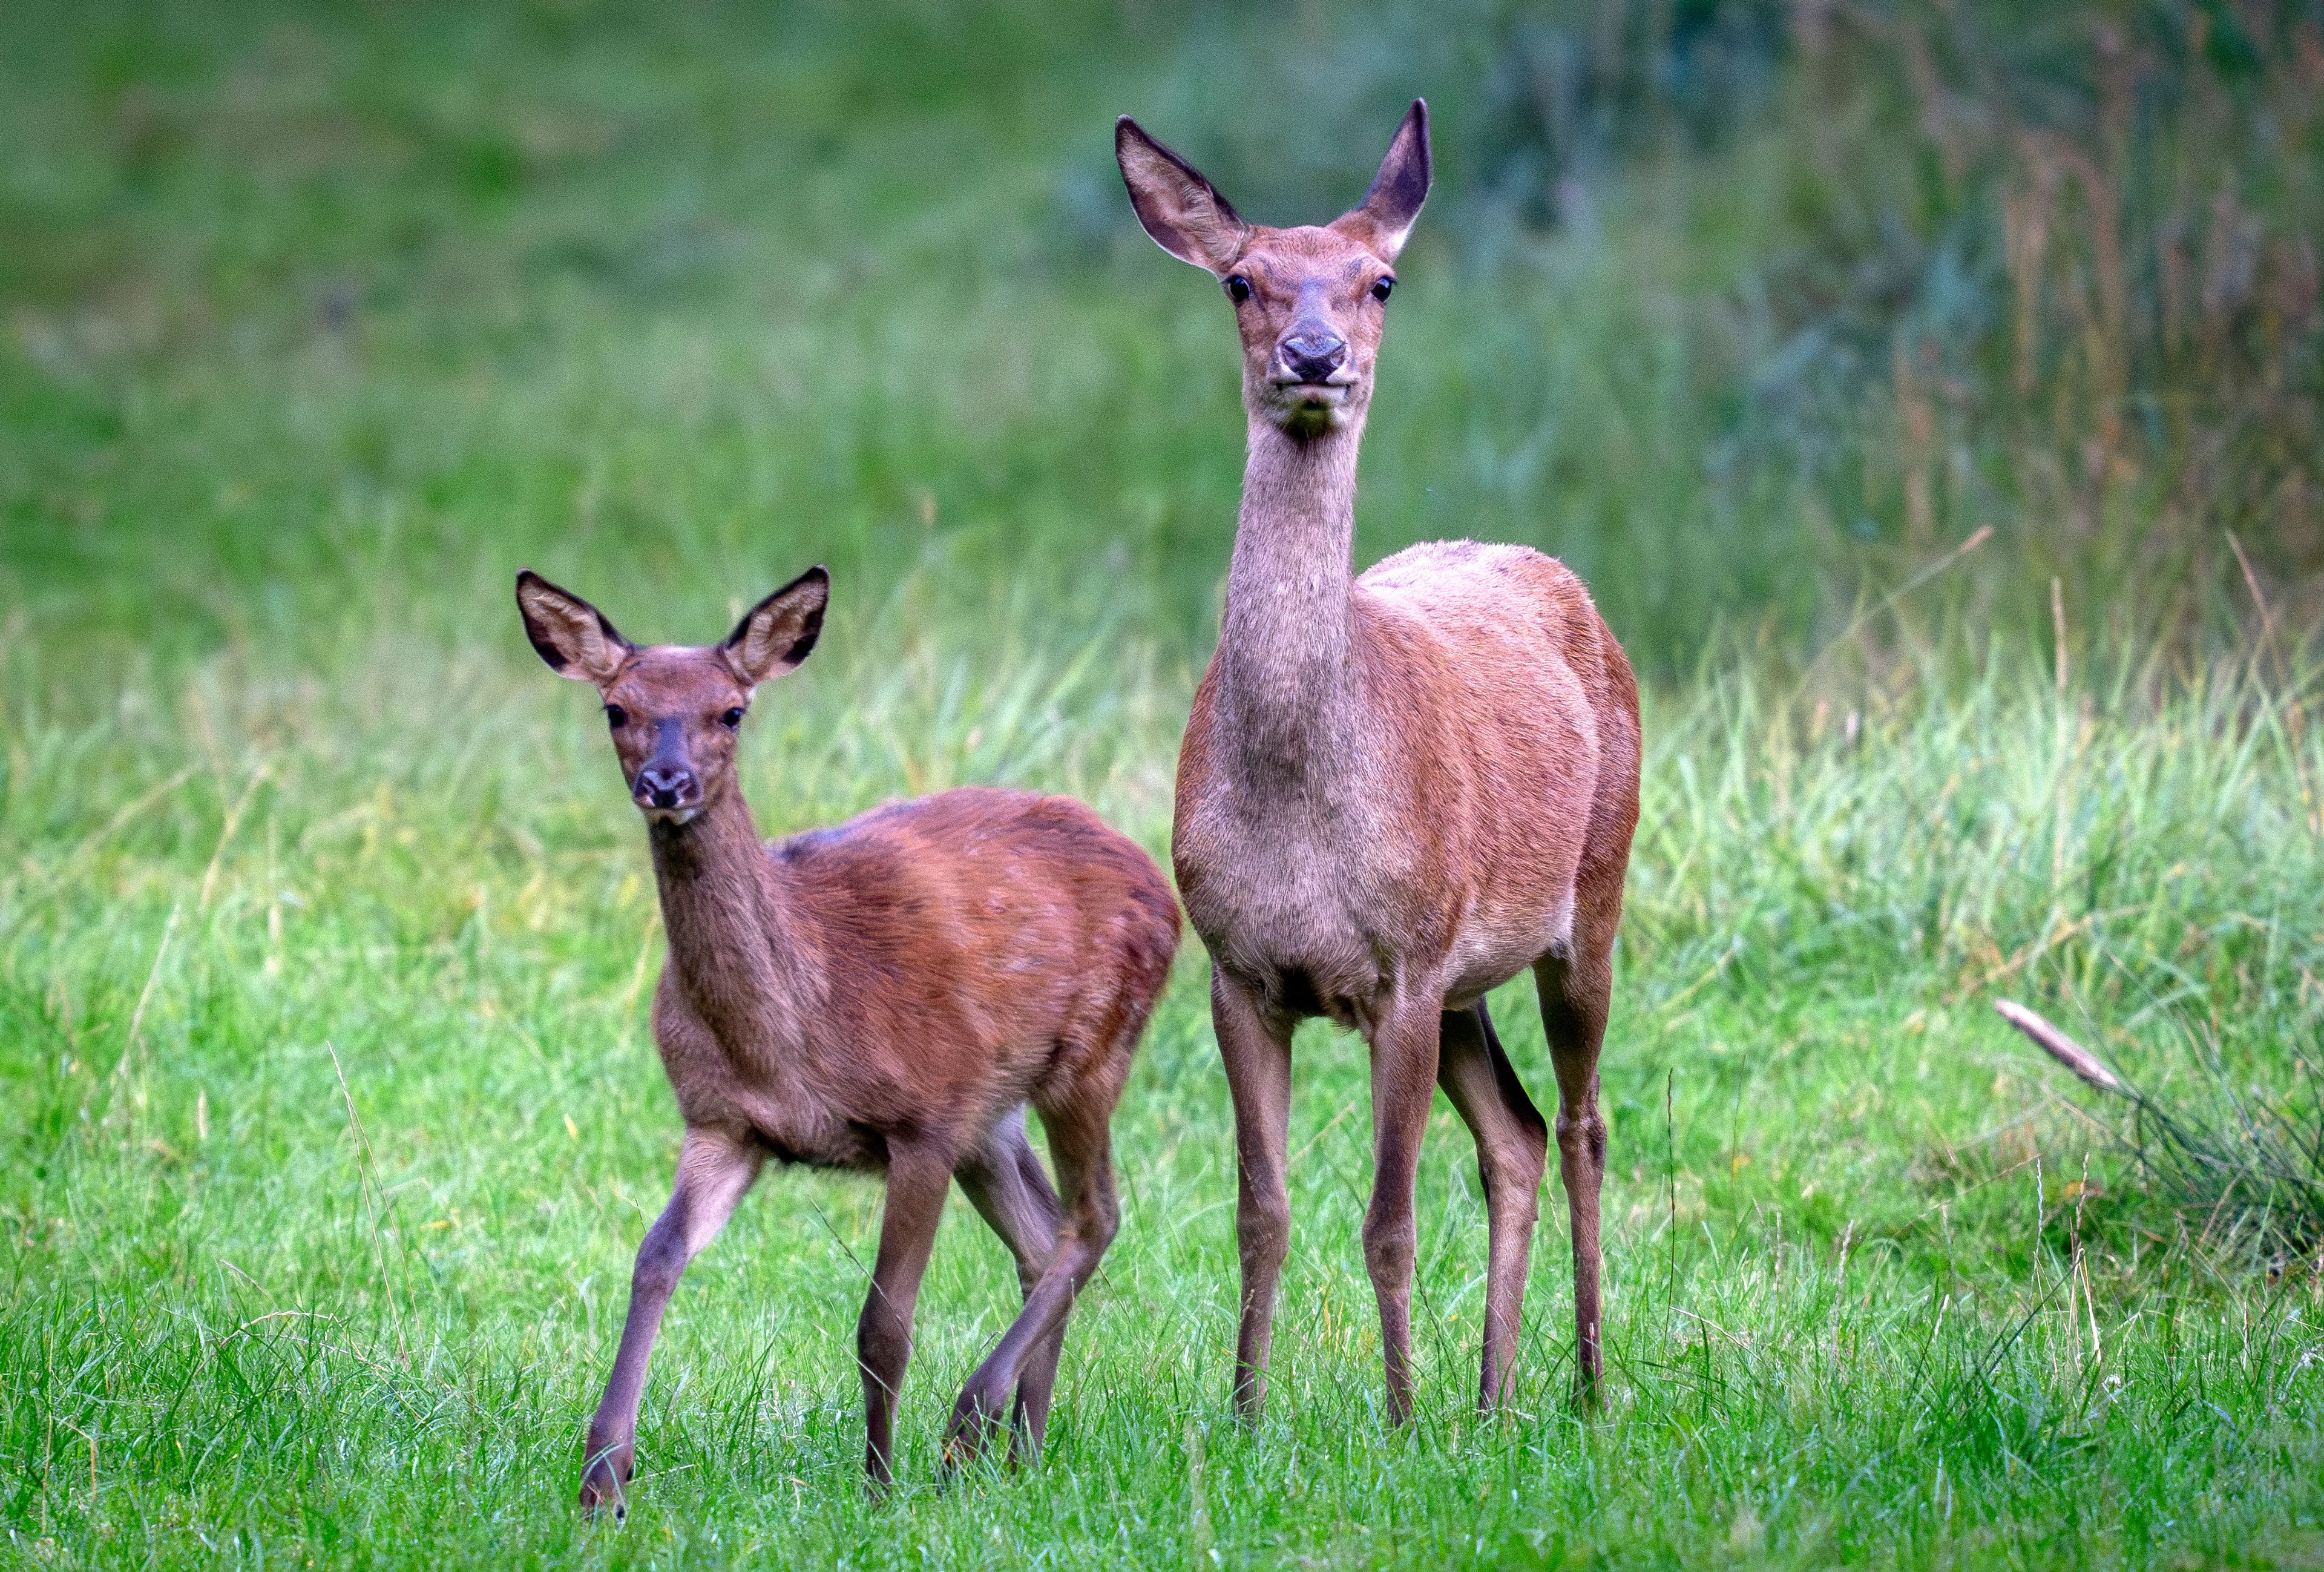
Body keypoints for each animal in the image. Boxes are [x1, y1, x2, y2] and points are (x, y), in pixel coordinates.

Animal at [527, 572, 1180, 1507]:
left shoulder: (924, 1119)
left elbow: (884, 1324)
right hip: (993, 1114)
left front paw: (878, 1485)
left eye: (732, 711)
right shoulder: (723, 1123)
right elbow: (654, 1257)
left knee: (1094, 1217)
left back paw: (973, 1425)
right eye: (617, 707)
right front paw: (603, 1476)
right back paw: (1025, 1448)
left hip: (1090, 1051)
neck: (799, 1029)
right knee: (1043, 1233)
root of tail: (1153, 871)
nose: (666, 781)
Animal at [1120, 104, 1636, 1413]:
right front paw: (1246, 1415)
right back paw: (1494, 1395)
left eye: (1381, 281)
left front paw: (1398, 1419)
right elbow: (1261, 1212)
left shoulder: (1403, 965)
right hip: (1466, 976)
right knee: (1512, 1135)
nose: (1313, 356)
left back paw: (1586, 1380)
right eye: (1241, 279)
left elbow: (1389, 1221)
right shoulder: (1243, 969)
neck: (1302, 804)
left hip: (1590, 897)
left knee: (1581, 1122)